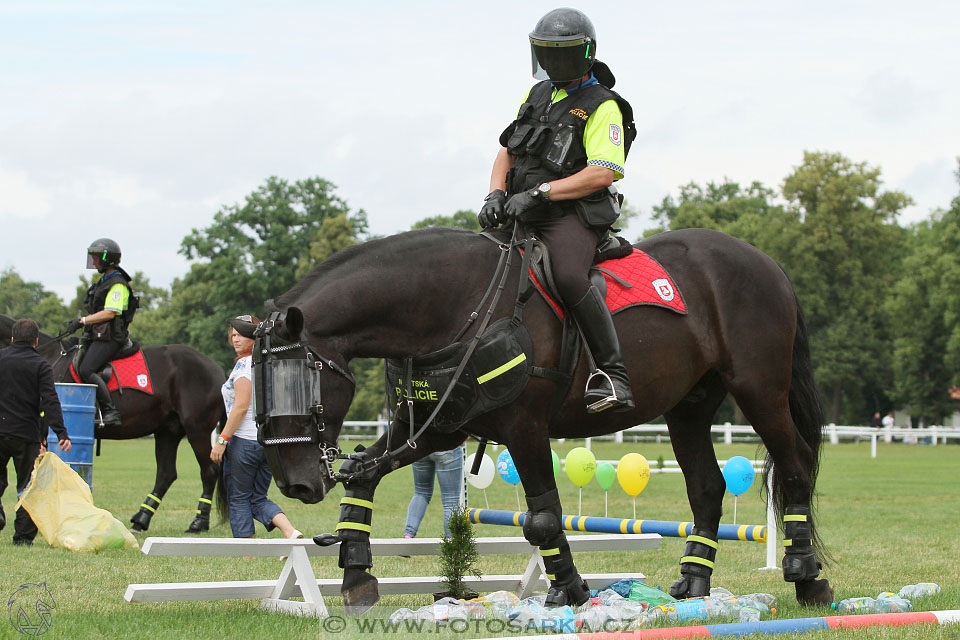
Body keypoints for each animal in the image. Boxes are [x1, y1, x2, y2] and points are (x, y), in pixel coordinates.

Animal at [0, 314, 229, 528]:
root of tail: (217, 369)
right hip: (168, 431)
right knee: (166, 474)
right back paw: (141, 519)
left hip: (197, 430)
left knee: (209, 471)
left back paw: (198, 522)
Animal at [255, 226, 832, 608]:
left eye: (296, 383)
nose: (297, 484)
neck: (460, 303)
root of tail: (765, 262)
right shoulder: (436, 428)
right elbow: (364, 475)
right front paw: (357, 573)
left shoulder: (524, 428)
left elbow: (542, 518)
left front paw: (570, 589)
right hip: (688, 407)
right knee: (708, 486)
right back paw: (694, 582)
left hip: (759, 391)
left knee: (794, 466)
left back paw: (807, 577)